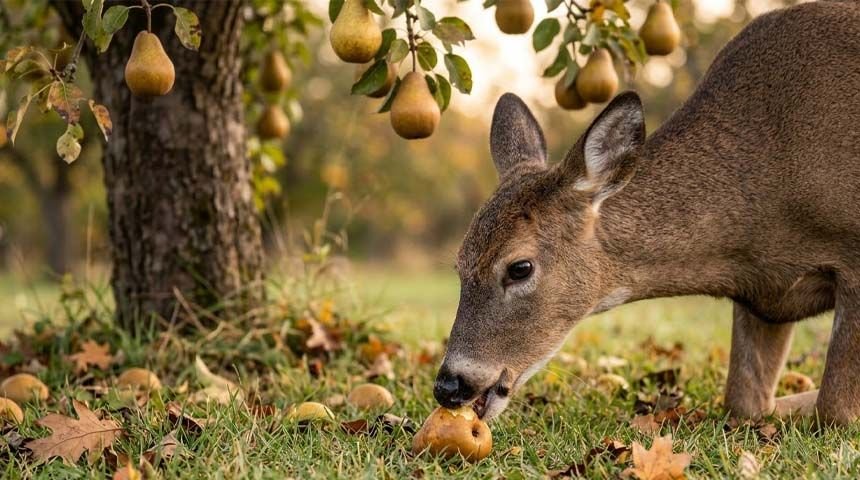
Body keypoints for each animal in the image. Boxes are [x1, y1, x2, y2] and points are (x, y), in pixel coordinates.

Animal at [433, 0, 860, 425]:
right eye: (459, 264)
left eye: (520, 267)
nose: (449, 385)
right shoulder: (764, 299)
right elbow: (745, 403)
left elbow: (834, 410)